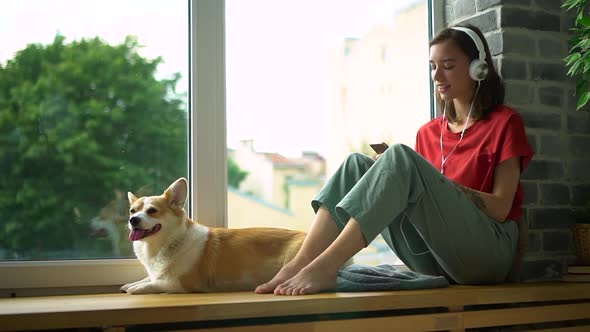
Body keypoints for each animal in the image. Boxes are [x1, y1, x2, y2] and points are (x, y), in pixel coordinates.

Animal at [118, 178, 308, 294]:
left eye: (152, 211)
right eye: (132, 211)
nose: (132, 220)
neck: (167, 242)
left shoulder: (180, 283)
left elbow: (155, 283)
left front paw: (138, 288)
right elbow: (148, 277)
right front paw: (132, 284)